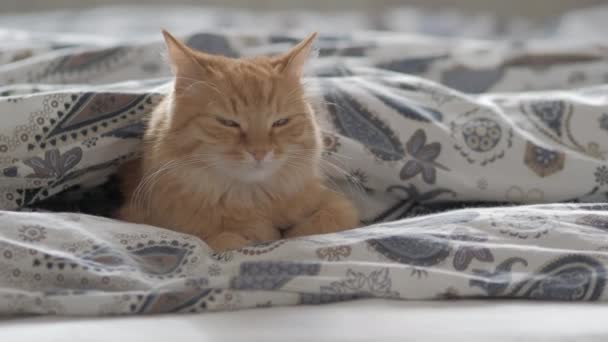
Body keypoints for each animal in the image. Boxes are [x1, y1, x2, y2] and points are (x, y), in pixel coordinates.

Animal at [116, 30, 358, 251]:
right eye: (228, 123)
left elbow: (330, 218)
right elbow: (226, 240)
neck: (251, 198)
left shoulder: (335, 204)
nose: (260, 152)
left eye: (280, 122)